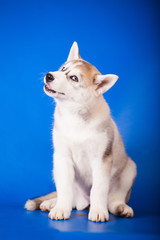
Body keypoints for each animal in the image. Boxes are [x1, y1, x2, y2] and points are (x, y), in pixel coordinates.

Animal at [24, 42, 136, 222]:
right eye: (63, 68)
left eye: (74, 78)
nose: (49, 75)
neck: (75, 117)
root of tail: (85, 202)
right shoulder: (62, 157)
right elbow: (64, 188)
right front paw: (60, 208)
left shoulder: (101, 159)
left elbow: (98, 188)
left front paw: (98, 211)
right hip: (56, 168)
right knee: (71, 198)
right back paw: (51, 203)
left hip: (130, 169)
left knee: (113, 200)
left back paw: (120, 208)